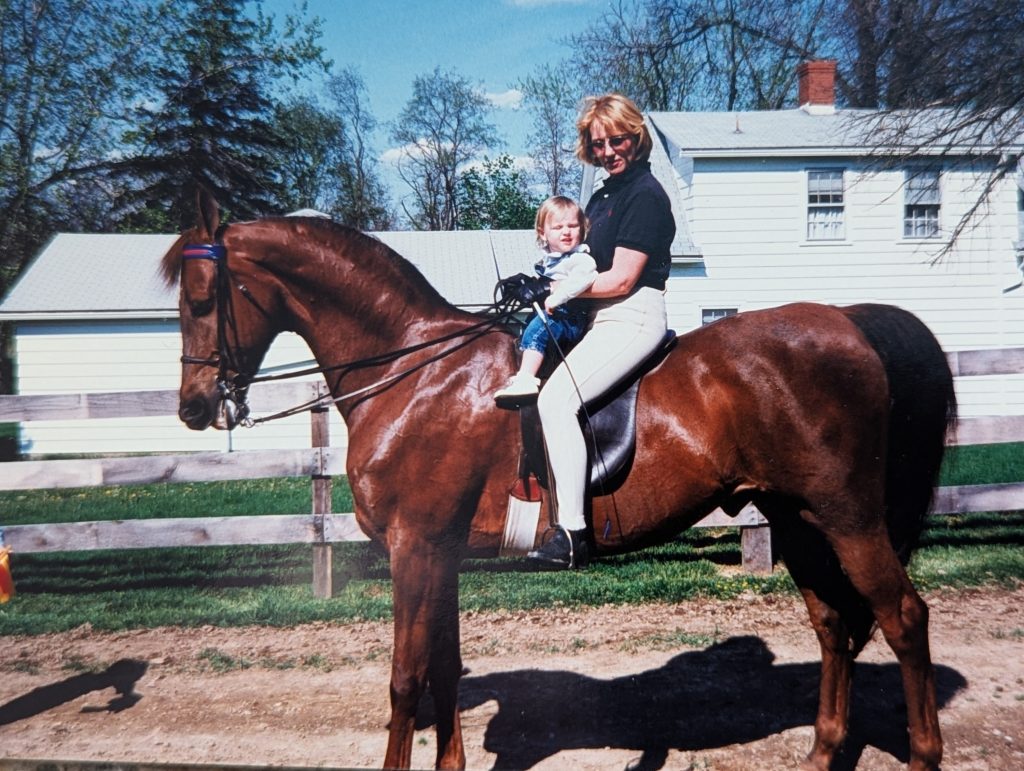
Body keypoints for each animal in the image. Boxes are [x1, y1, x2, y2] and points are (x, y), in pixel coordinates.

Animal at [159, 189, 950, 765]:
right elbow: (443, 669)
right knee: (833, 625)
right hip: (799, 517)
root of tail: (849, 321)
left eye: (200, 300)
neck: (412, 370)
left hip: (848, 517)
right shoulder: (440, 552)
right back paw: (822, 752)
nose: (194, 407)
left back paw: (922, 754)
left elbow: (406, 679)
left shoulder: (415, 547)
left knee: (903, 618)